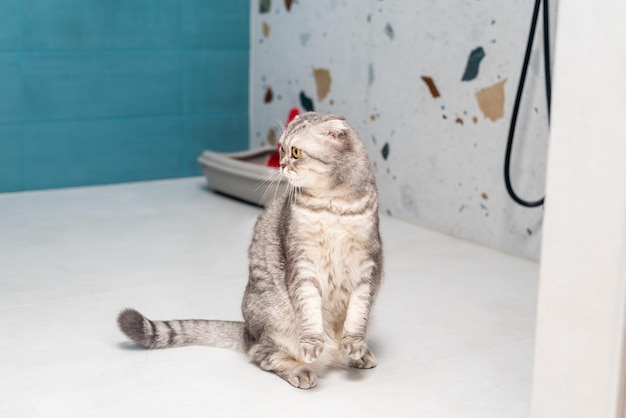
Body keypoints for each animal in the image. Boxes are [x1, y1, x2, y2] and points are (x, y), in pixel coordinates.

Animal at [117, 112, 380, 388]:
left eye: (295, 152)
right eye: (282, 149)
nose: (282, 165)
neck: (333, 204)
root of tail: (248, 332)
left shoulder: (367, 264)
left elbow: (358, 313)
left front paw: (354, 344)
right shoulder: (302, 265)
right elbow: (310, 312)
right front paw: (312, 343)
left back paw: (358, 355)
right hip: (274, 320)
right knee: (262, 354)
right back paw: (301, 370)